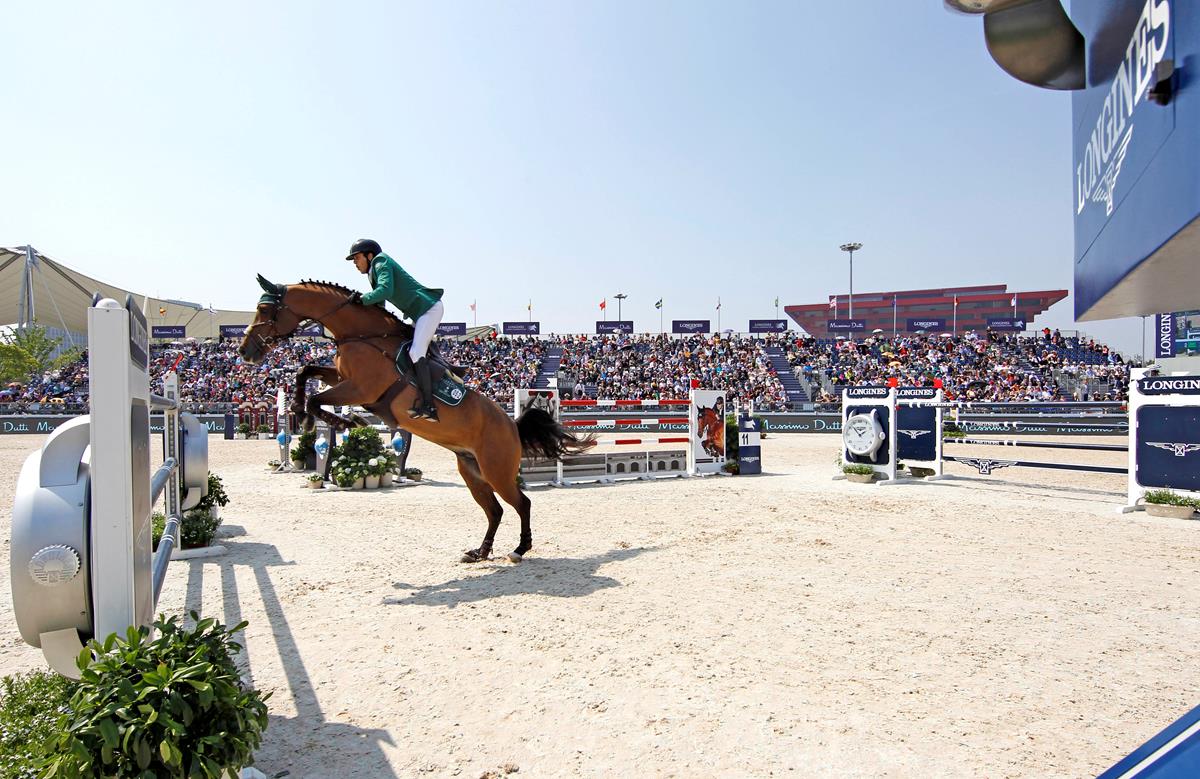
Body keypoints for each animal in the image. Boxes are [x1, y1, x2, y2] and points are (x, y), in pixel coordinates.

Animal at [236, 276, 592, 561]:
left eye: (265, 310)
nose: (244, 352)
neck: (362, 335)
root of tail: (512, 426)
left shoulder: (360, 388)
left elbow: (317, 397)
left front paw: (342, 423)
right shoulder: (342, 378)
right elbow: (305, 372)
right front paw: (300, 410)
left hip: (497, 471)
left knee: (522, 504)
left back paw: (519, 549)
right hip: (473, 472)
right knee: (495, 510)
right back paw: (479, 552)